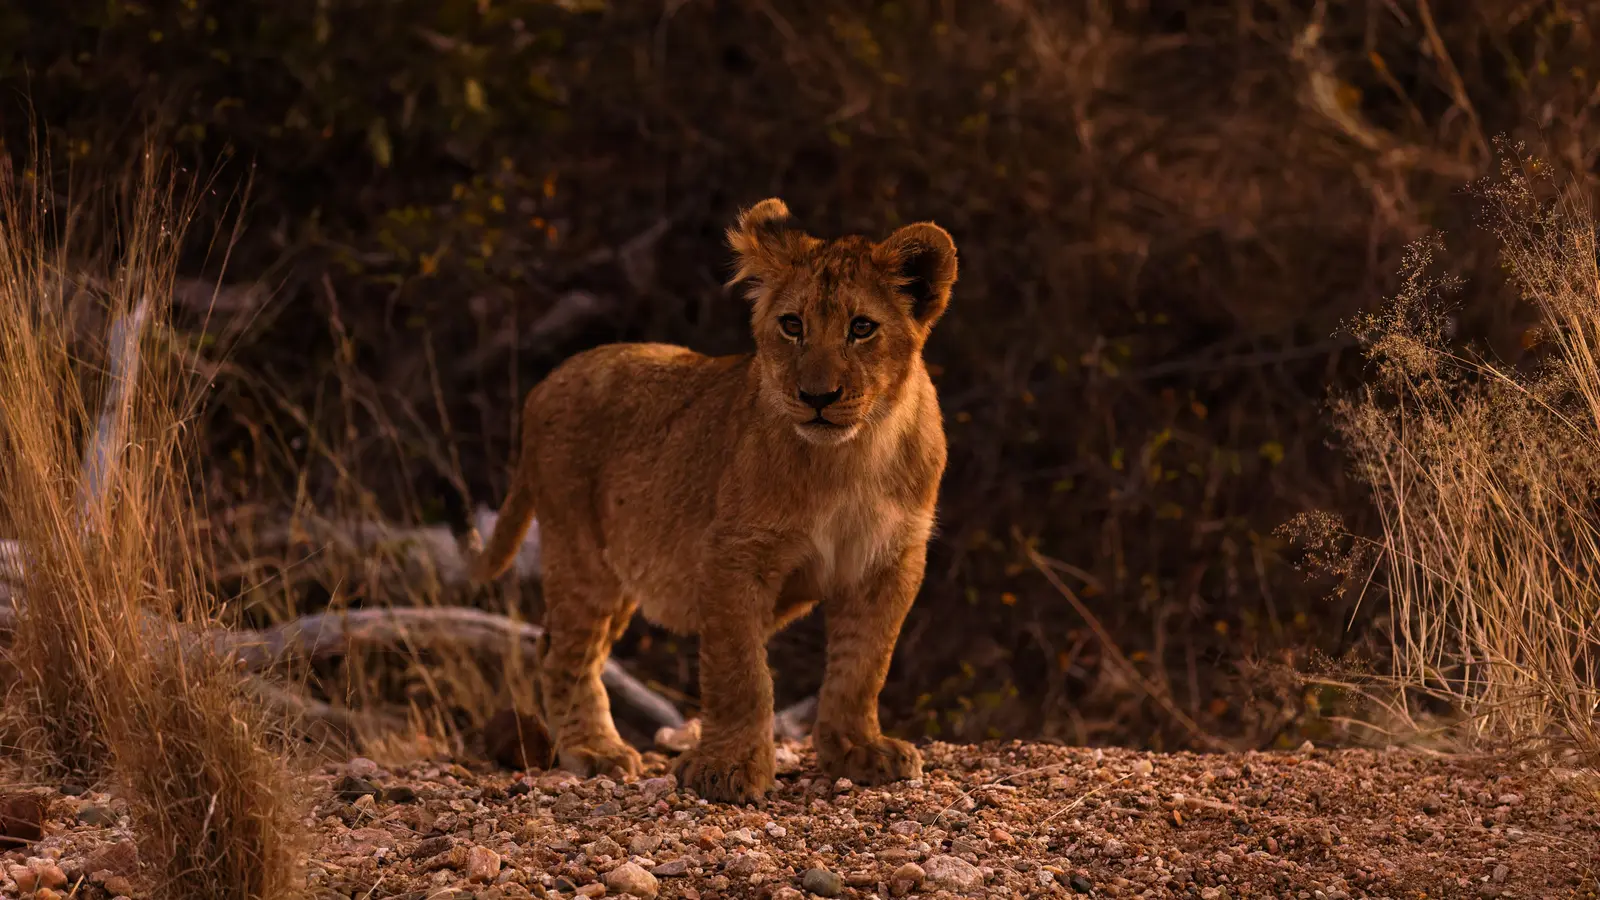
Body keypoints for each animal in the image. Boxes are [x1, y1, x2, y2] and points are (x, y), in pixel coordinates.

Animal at [469, 198, 956, 802]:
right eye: (792, 325)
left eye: (862, 327)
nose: (817, 397)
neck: (851, 457)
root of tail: (549, 380)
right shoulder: (733, 555)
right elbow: (741, 671)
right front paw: (727, 768)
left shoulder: (890, 560)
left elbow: (864, 664)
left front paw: (857, 749)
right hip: (581, 554)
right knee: (563, 653)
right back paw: (595, 751)